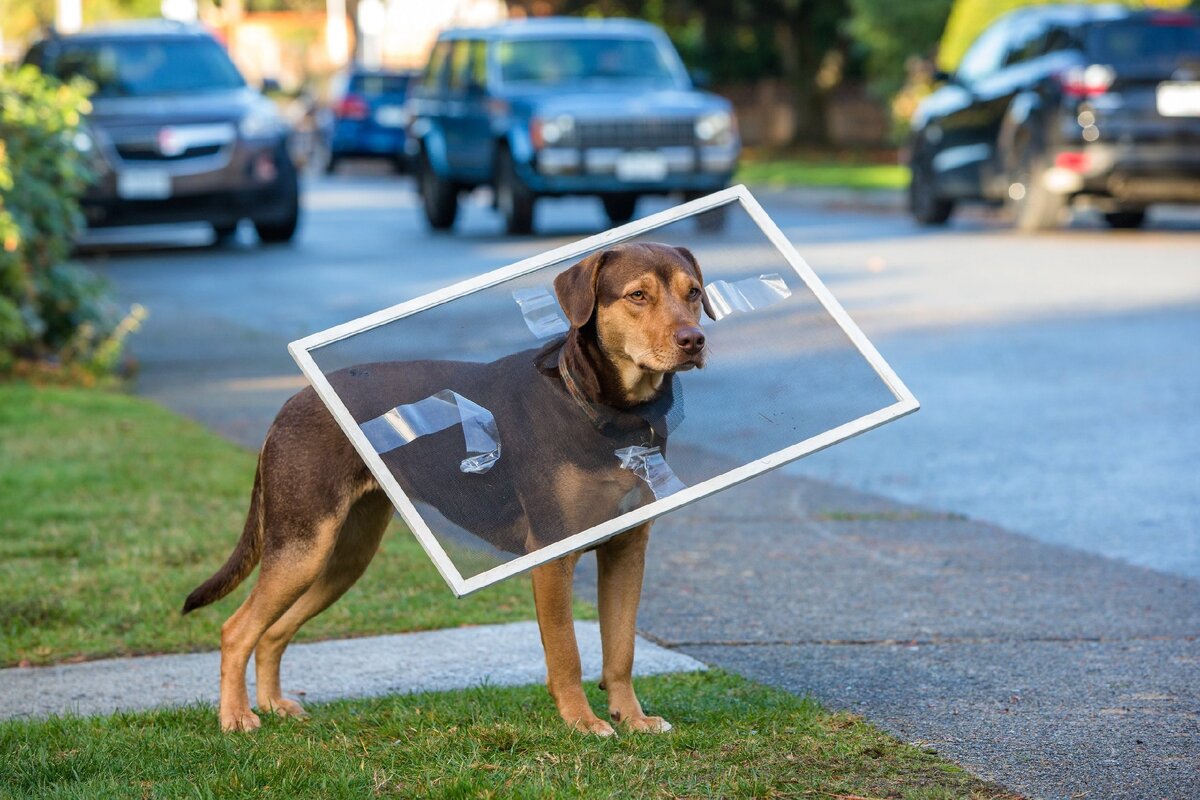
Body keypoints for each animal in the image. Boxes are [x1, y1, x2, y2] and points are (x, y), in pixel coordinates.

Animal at [180, 242, 710, 738]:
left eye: (694, 293)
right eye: (637, 295)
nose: (695, 340)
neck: (607, 412)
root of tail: (291, 403)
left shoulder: (627, 549)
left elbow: (621, 650)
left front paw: (633, 719)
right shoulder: (553, 555)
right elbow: (567, 654)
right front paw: (582, 722)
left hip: (343, 557)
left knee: (272, 633)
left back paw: (272, 705)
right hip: (303, 547)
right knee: (236, 630)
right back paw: (237, 717)